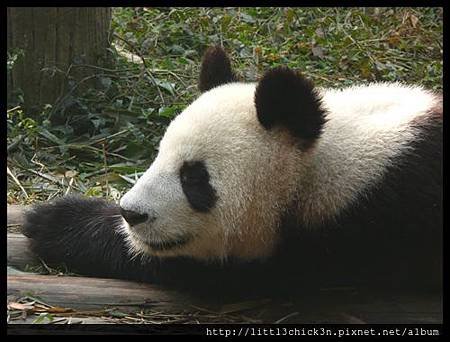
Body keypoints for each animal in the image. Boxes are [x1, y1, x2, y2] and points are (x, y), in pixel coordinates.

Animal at [21, 46, 440, 298]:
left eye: (194, 177)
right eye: (158, 154)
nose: (131, 213)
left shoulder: (357, 232)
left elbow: (218, 274)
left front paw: (54, 220)